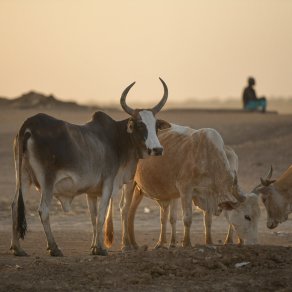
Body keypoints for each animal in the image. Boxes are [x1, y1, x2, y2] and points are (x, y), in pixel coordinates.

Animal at [10, 78, 171, 256]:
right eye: (140, 125)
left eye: (155, 126)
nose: (157, 149)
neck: (117, 139)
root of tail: (29, 124)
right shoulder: (108, 182)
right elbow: (101, 215)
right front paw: (100, 248)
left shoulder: (91, 192)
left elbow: (93, 218)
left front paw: (94, 246)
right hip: (47, 182)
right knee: (43, 210)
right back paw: (54, 247)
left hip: (23, 177)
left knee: (15, 206)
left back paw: (17, 248)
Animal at [115, 124, 256, 250]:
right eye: (247, 216)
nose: (250, 242)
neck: (208, 155)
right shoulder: (185, 189)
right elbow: (187, 218)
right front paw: (186, 243)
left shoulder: (207, 195)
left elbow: (207, 220)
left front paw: (209, 242)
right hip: (129, 182)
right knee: (125, 209)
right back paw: (126, 244)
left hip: (139, 189)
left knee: (132, 212)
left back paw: (135, 244)